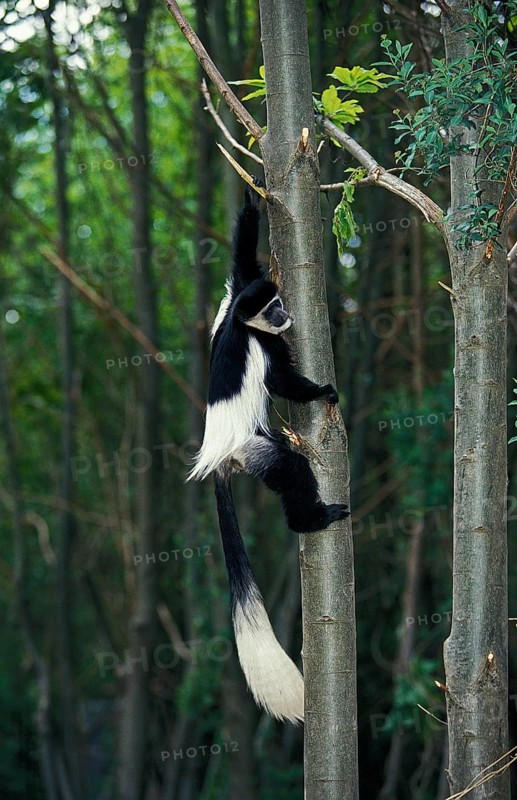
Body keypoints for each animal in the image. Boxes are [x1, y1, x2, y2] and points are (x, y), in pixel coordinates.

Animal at [187, 180, 348, 723]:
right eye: (273, 310)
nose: (284, 314)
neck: (245, 323)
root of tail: (218, 459)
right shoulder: (263, 343)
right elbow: (281, 381)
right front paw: (324, 392)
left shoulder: (237, 293)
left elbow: (242, 258)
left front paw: (251, 201)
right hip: (256, 452)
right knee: (291, 469)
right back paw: (311, 519)